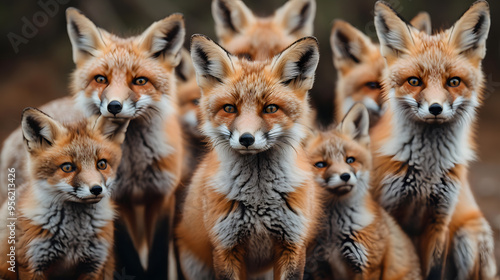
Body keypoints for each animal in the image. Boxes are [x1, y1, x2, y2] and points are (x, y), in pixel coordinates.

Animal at [0, 107, 129, 280]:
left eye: (102, 164)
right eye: (67, 167)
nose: (96, 189)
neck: (74, 238)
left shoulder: (94, 265)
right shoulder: (32, 263)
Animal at [176, 35, 322, 280]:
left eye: (270, 108)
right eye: (229, 108)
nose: (246, 138)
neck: (258, 200)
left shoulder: (292, 244)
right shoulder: (226, 246)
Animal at [304, 103, 422, 280]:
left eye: (350, 160)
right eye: (320, 164)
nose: (345, 176)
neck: (333, 233)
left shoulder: (368, 265)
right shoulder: (320, 265)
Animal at [372, 1, 496, 278]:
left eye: (453, 82)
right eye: (415, 81)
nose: (436, 108)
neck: (427, 172)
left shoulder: (439, 219)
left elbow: (433, 269)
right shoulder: (389, 211)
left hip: (467, 239)